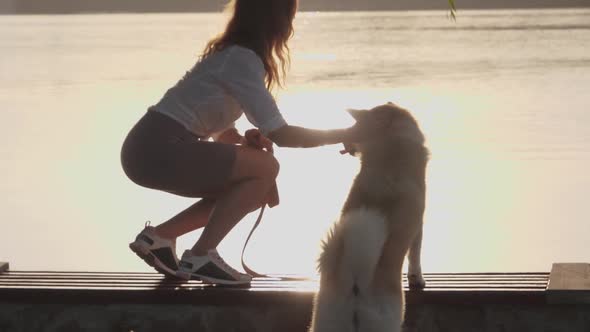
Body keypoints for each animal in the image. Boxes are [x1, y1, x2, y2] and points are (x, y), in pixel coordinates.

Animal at [310, 102, 430, 332]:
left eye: (354, 128)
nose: (344, 140)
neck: (391, 145)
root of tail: (355, 282)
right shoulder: (419, 225)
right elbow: (415, 256)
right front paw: (417, 280)